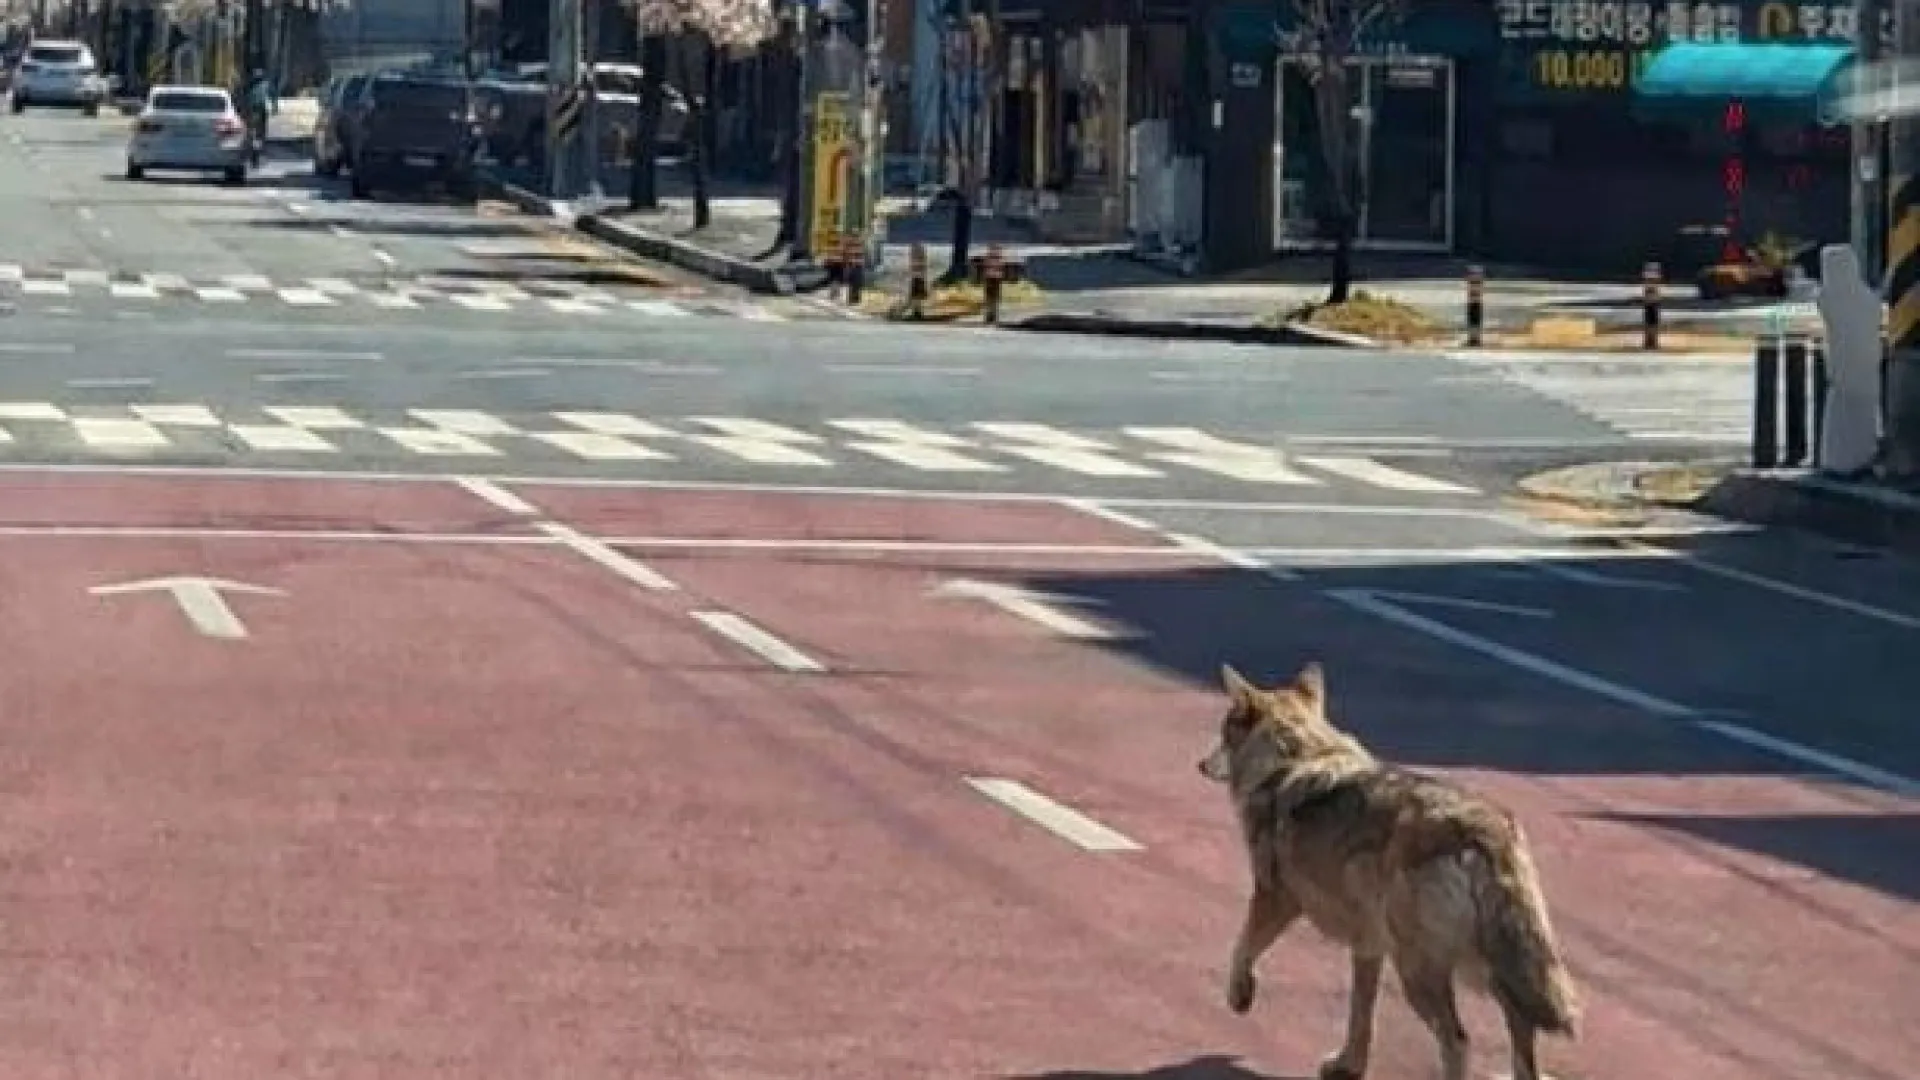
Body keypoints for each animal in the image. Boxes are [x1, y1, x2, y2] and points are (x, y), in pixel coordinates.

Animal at [1197, 661, 1580, 1080]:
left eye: (1222, 734)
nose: (1200, 765)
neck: (1294, 758)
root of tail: (1483, 831)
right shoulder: (1368, 944)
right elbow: (1361, 1015)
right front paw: (1348, 1065)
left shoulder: (1275, 899)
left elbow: (1242, 948)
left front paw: (1239, 995)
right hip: (1487, 967)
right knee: (1520, 1031)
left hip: (1422, 971)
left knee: (1458, 1041)